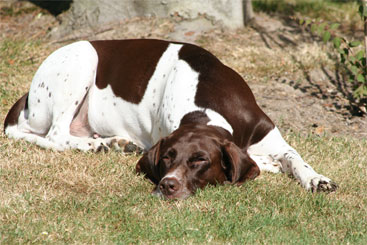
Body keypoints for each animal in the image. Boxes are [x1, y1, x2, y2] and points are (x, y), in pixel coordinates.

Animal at [4, 38, 338, 199]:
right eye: (167, 157)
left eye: (200, 160)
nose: (168, 185)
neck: (208, 108)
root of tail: (26, 97)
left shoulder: (271, 137)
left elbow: (295, 159)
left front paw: (317, 179)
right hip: (82, 61)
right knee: (56, 135)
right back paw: (104, 145)